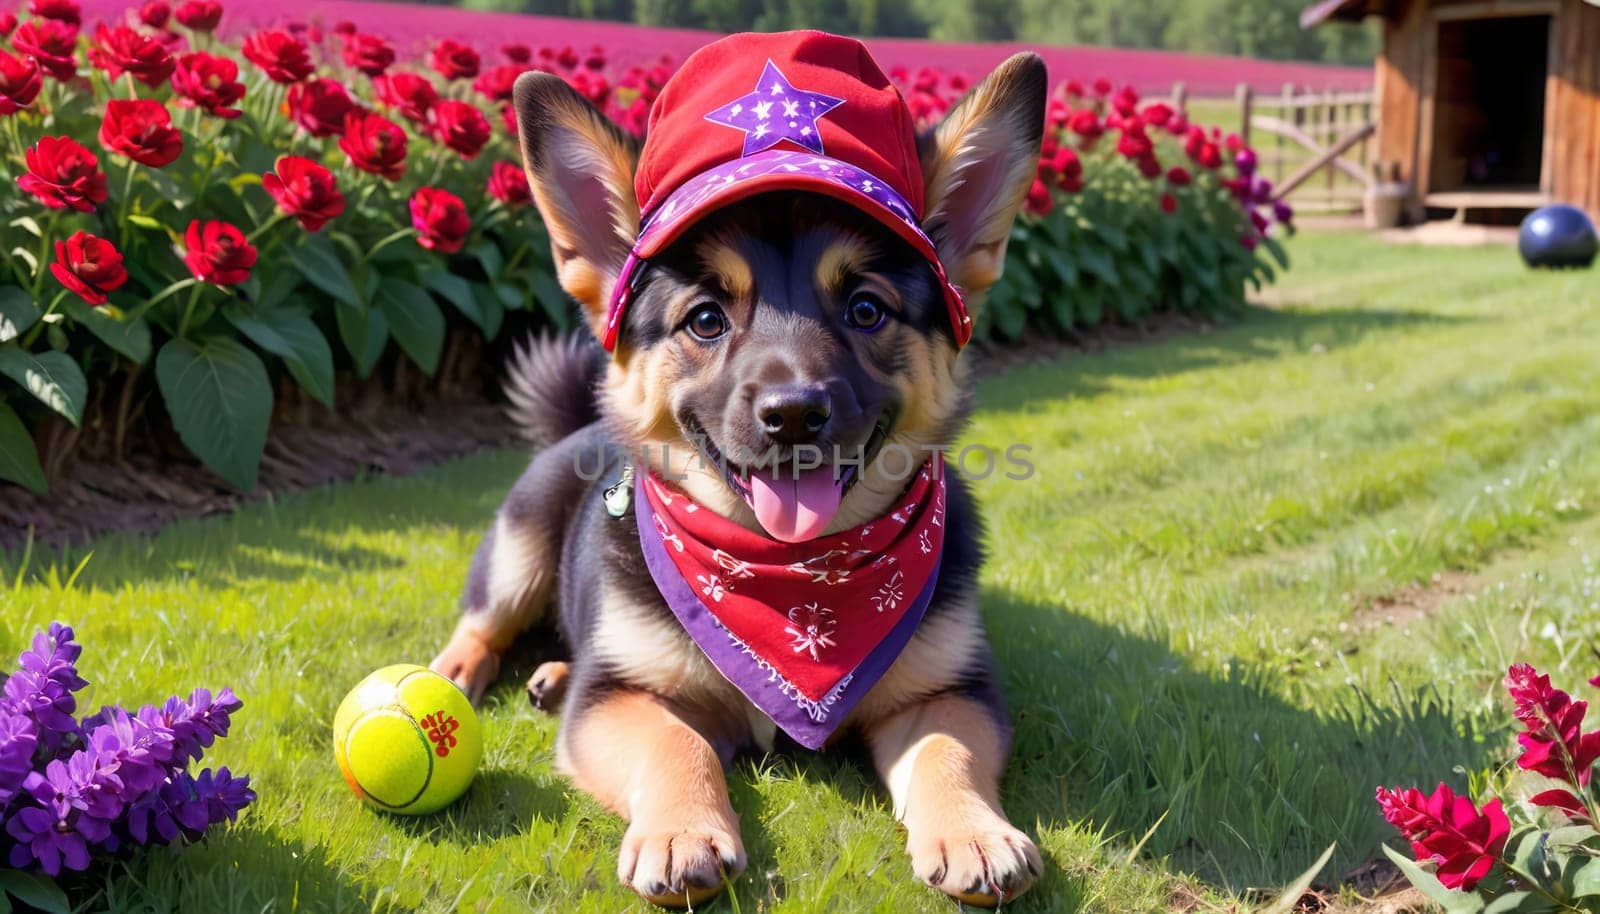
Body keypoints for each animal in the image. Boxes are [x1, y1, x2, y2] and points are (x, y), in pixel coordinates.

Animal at [432, 42, 1049, 909]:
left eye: (866, 309)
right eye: (704, 320)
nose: (793, 415)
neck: (793, 584)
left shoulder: (948, 690)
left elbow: (945, 752)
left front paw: (972, 832)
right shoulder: (617, 701)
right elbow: (673, 740)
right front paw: (682, 831)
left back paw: (552, 671)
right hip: (520, 549)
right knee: (485, 622)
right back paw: (457, 673)